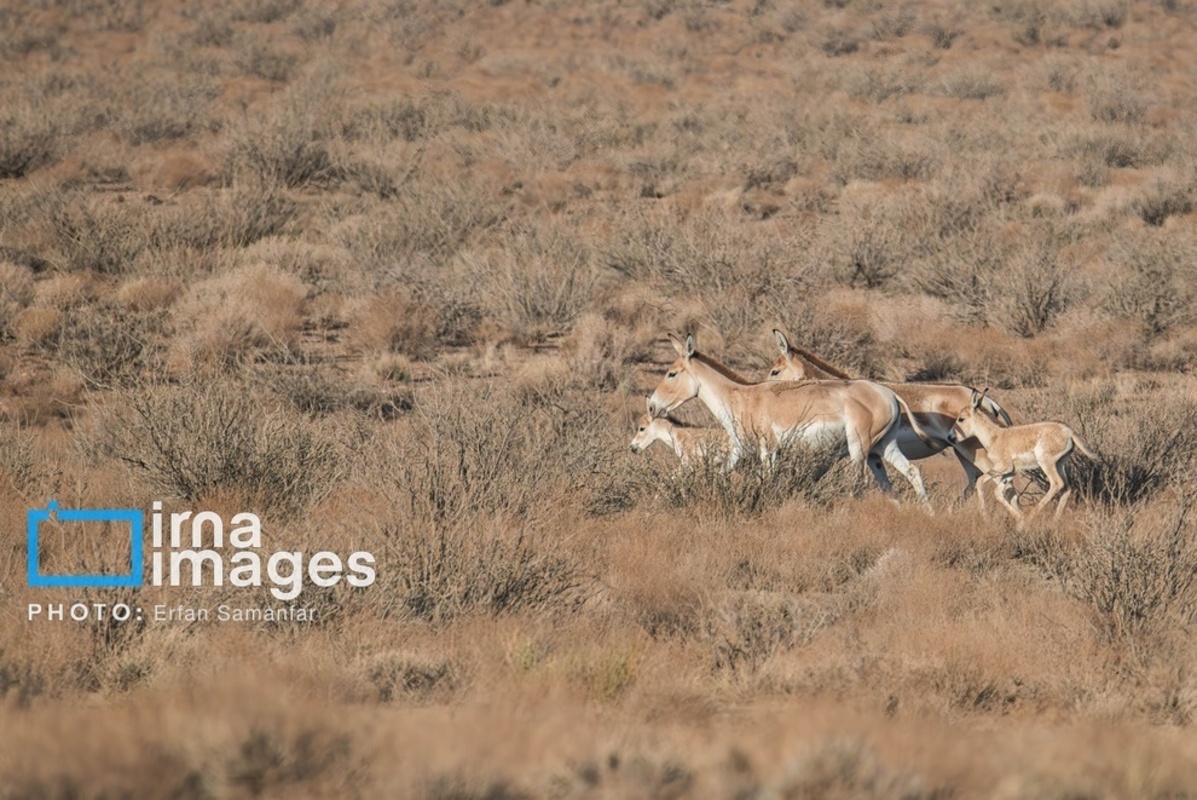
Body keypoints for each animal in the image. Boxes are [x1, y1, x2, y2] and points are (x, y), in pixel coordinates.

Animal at [948, 388, 1096, 524]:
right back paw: (1055, 520)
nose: (950, 437)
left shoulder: (1002, 467)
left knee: (1056, 484)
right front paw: (1020, 517)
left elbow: (980, 481)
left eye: (961, 419)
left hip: (1046, 463)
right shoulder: (1010, 472)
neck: (995, 436)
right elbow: (998, 492)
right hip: (1060, 464)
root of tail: (1069, 432)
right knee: (1067, 487)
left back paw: (1032, 516)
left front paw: (987, 517)